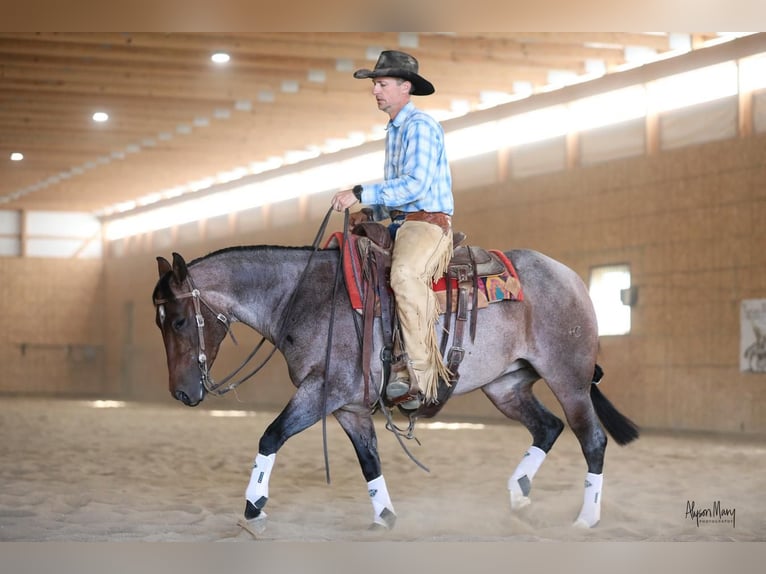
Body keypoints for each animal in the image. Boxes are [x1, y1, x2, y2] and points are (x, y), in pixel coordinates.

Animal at [153, 240, 640, 536]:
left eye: (177, 321)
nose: (181, 394)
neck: (303, 297)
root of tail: (570, 277)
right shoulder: (348, 407)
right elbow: (369, 461)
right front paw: (384, 517)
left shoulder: (322, 391)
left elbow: (270, 436)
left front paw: (254, 508)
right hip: (506, 386)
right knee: (547, 428)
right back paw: (518, 496)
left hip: (568, 378)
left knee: (591, 439)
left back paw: (586, 519)